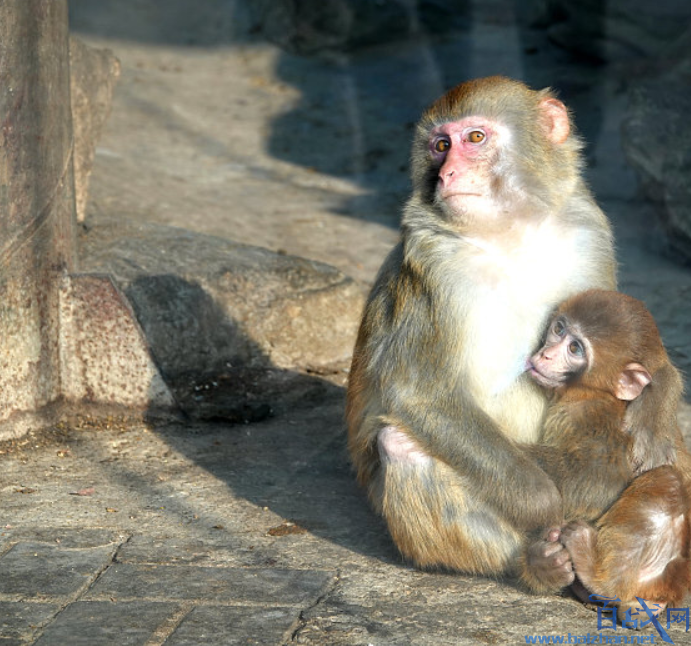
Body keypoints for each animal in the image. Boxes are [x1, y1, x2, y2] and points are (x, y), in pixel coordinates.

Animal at [346, 74, 616, 592]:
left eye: (474, 138)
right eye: (440, 146)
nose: (448, 174)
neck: (510, 237)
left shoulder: (588, 235)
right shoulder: (433, 265)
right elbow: (420, 393)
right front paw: (544, 504)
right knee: (400, 443)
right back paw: (534, 564)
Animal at [524, 290, 691, 616]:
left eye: (575, 348)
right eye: (559, 329)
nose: (546, 355)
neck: (593, 390)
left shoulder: (586, 413)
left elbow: (598, 480)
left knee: (666, 480)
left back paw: (600, 578)